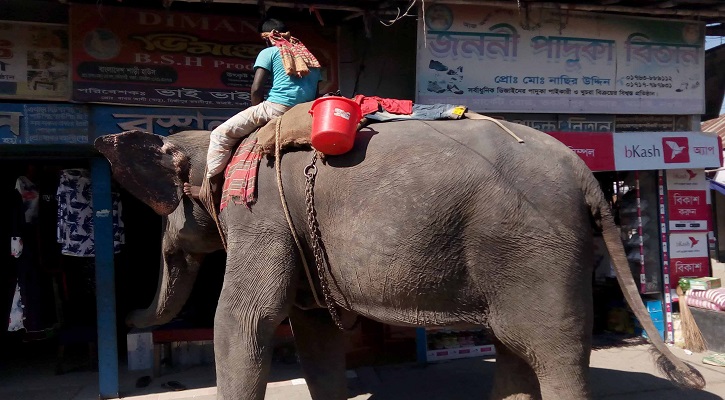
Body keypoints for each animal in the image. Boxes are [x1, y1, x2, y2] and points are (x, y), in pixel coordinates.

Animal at [93, 107, 704, 400]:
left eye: (165, 216)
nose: (126, 317)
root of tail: (588, 179)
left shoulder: (259, 216)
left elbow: (245, 319)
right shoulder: (292, 232)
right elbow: (314, 333)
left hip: (537, 248)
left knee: (554, 352)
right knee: (515, 345)